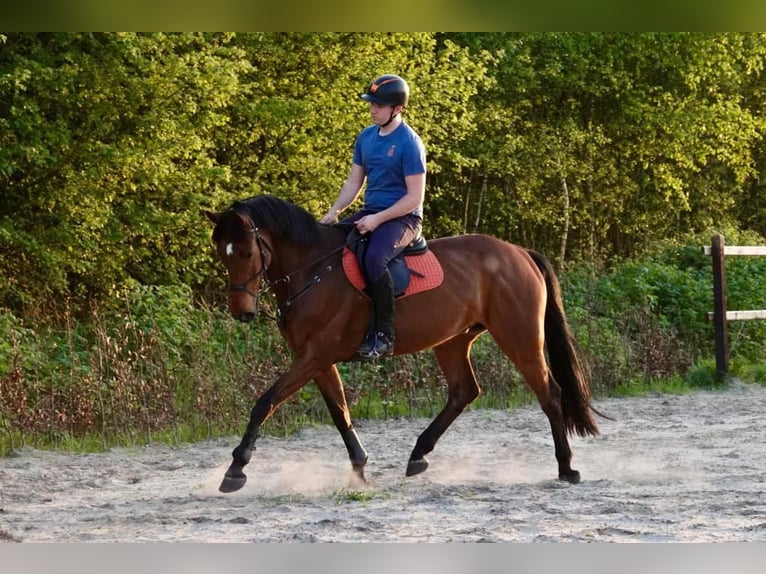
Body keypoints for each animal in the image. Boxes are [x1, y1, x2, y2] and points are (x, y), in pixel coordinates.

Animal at [207, 196, 604, 492]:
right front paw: (359, 467)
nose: (241, 312)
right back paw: (418, 454)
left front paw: (236, 469)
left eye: (246, 253)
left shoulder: (315, 354)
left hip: (519, 338)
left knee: (549, 392)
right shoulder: (317, 358)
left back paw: (566, 468)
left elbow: (266, 402)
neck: (313, 270)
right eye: (221, 255)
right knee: (464, 391)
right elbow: (339, 412)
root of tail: (520, 253)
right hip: (453, 340)